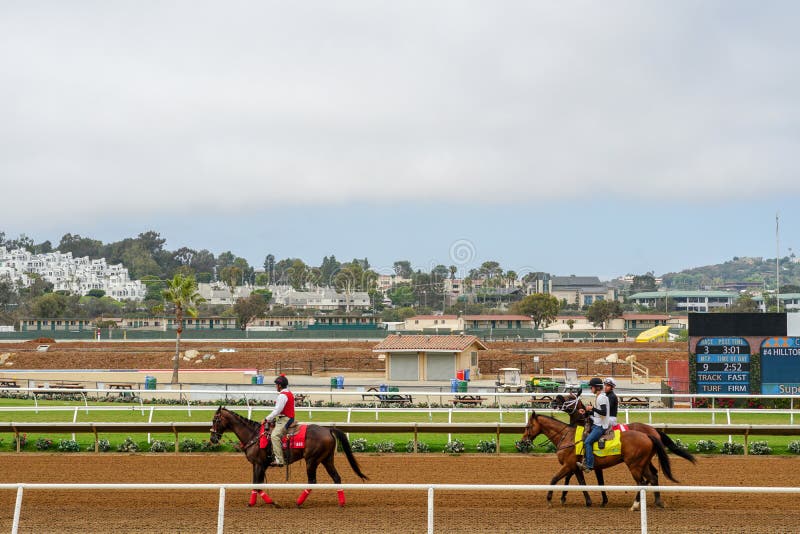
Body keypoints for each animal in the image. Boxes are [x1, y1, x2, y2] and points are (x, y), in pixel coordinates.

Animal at [208, 408, 368, 508]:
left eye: (215, 419)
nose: (213, 438)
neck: (254, 435)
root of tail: (328, 429)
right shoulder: (256, 465)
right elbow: (255, 484)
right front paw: (251, 503)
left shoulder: (260, 464)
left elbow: (258, 486)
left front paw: (273, 503)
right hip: (326, 459)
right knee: (336, 478)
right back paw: (341, 503)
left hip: (312, 461)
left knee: (313, 481)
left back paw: (298, 502)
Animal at [520, 412, 680, 512]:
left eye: (528, 426)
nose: (523, 442)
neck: (567, 437)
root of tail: (649, 434)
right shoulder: (575, 467)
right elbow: (581, 483)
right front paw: (588, 501)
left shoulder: (568, 465)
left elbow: (554, 479)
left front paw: (549, 499)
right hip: (643, 464)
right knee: (652, 478)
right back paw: (658, 502)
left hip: (634, 465)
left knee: (641, 483)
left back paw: (635, 505)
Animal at [552, 396, 692, 508]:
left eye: (570, 397)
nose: (554, 401)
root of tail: (653, 431)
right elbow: (595, 480)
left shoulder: (581, 461)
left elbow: (575, 477)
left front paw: (564, 497)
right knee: (653, 474)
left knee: (649, 475)